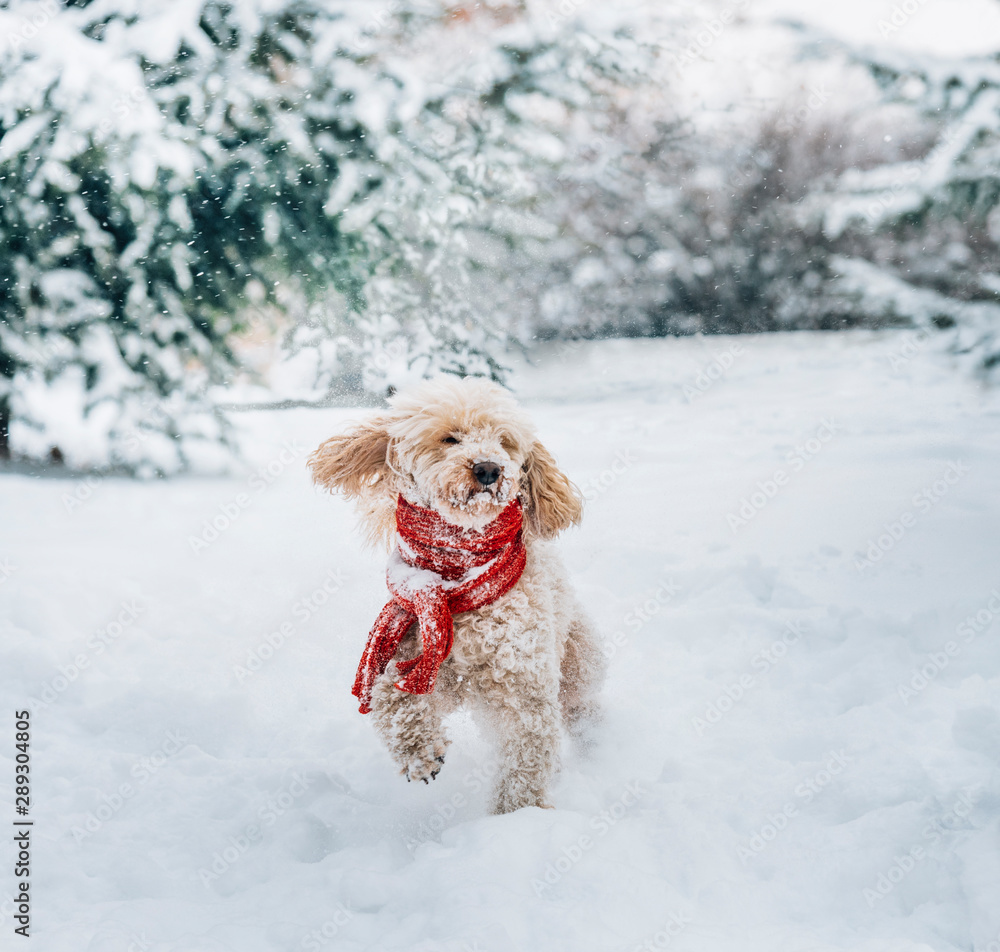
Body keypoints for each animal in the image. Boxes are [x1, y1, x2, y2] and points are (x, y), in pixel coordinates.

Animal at [306, 376, 600, 816]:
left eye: (504, 442)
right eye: (450, 438)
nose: (489, 468)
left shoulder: (523, 687)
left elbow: (526, 760)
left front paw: (516, 816)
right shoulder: (418, 653)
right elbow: (388, 696)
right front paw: (421, 753)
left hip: (578, 662)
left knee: (581, 709)